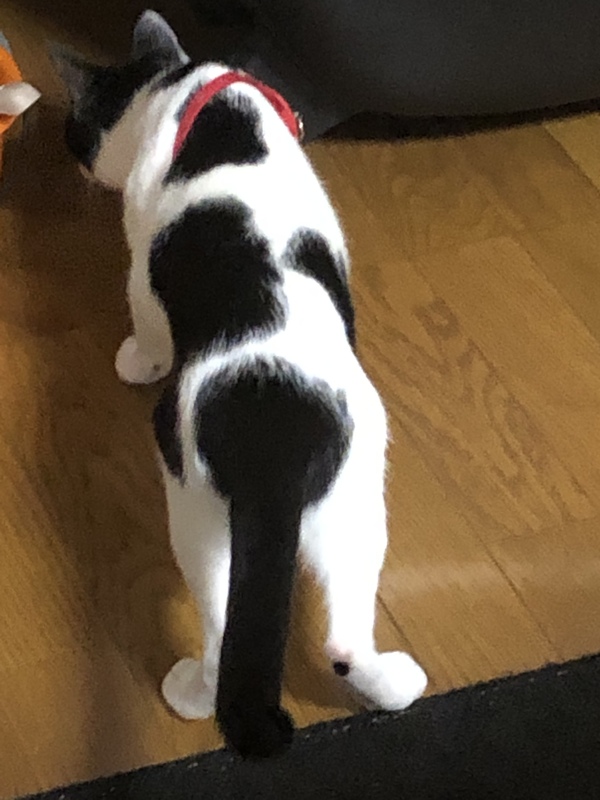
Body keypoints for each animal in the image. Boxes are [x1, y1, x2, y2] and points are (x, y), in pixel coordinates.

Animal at [51, 10, 427, 759]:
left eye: (78, 128)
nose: (73, 157)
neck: (188, 92)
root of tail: (276, 433)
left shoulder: (141, 260)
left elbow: (147, 316)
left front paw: (137, 359)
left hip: (197, 514)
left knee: (224, 635)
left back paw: (191, 694)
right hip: (356, 503)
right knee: (344, 637)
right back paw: (396, 684)